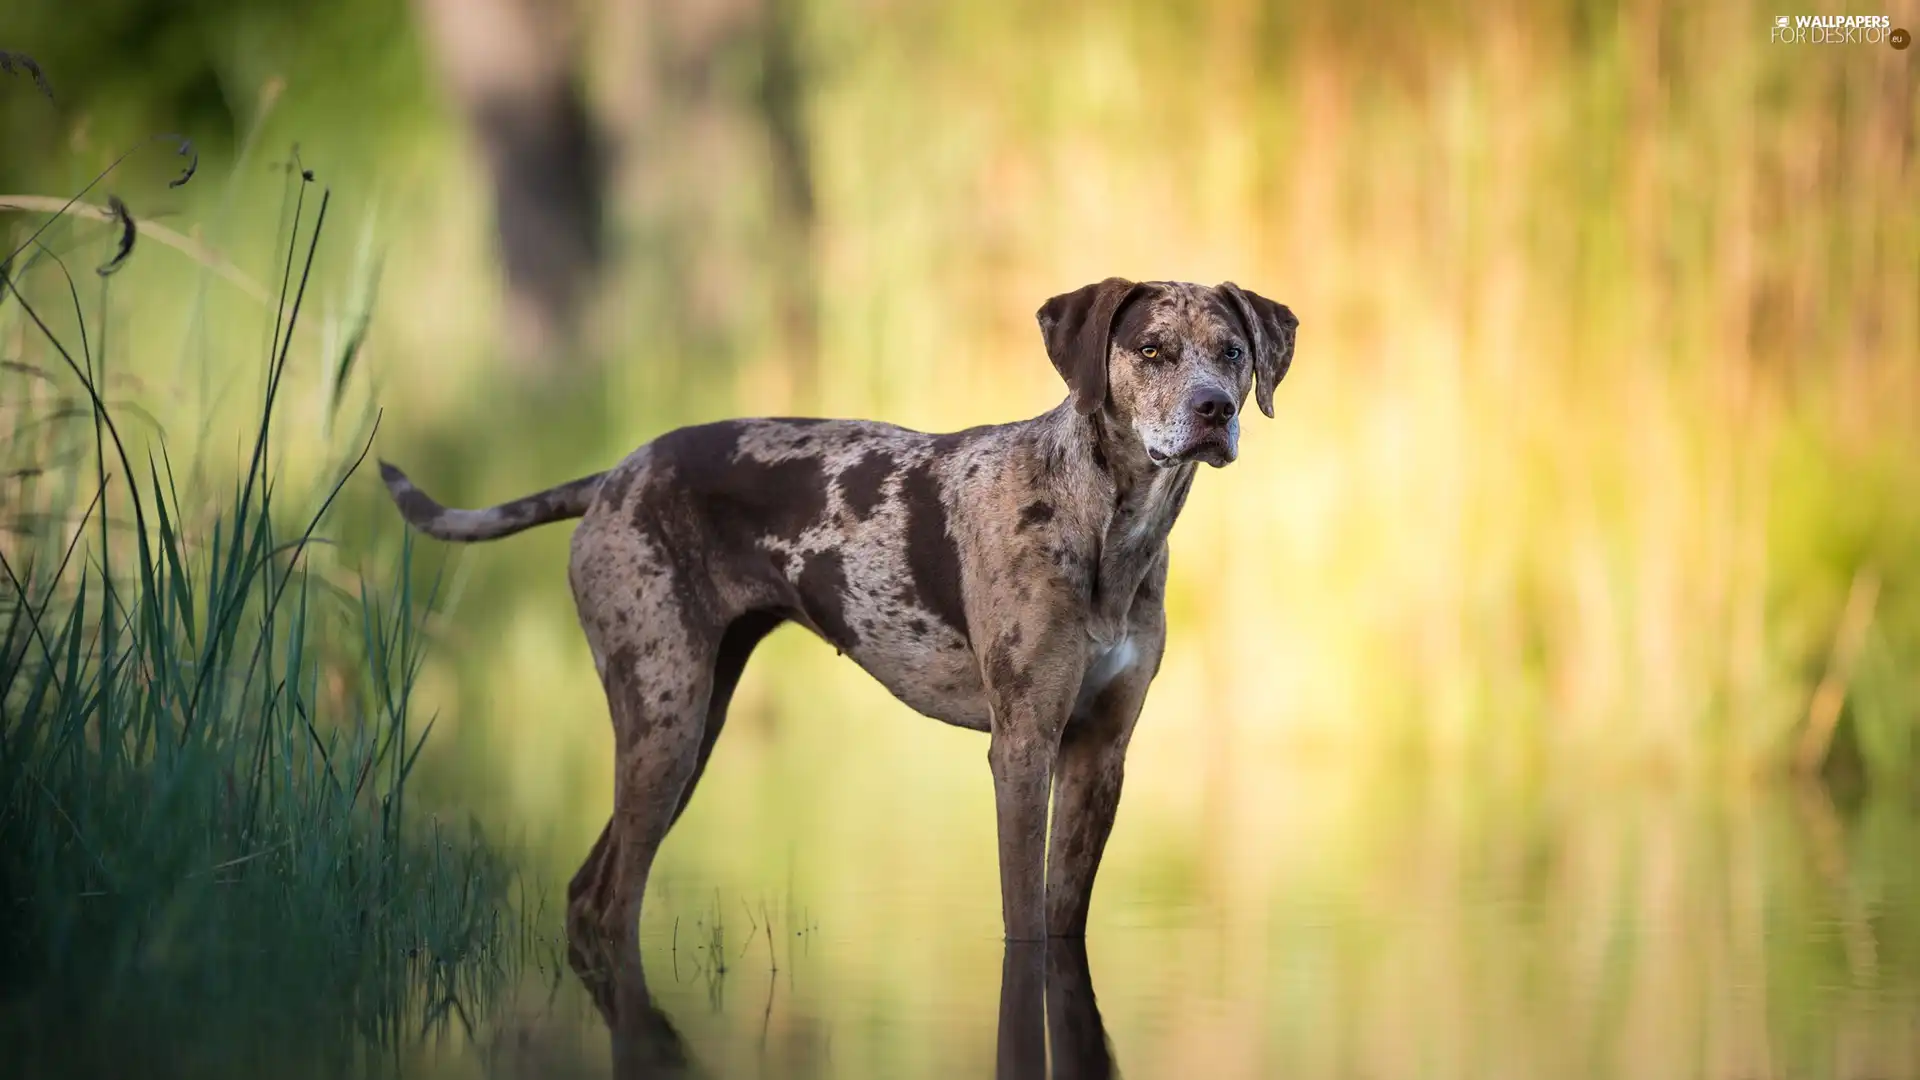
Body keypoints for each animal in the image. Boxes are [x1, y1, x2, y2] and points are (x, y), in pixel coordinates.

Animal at [380, 278, 1297, 949]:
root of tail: (611, 475)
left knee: (585, 890)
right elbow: (1023, 921)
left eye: (1233, 352)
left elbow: (1064, 919)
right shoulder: (1023, 748)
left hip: (689, 729)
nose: (1215, 409)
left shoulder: (1099, 753)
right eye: (1152, 350)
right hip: (662, 726)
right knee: (610, 898)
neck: (1107, 527)